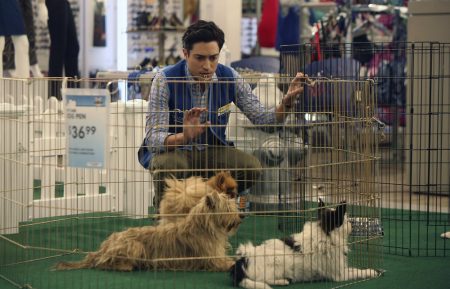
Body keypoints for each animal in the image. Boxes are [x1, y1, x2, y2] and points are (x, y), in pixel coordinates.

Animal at [55, 190, 243, 272]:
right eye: (228, 208)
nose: (242, 215)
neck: (204, 226)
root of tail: (102, 248)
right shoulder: (213, 259)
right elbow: (228, 263)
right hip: (135, 246)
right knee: (104, 263)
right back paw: (126, 266)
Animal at [230, 198, 378, 288]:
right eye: (345, 221)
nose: (352, 224)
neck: (325, 234)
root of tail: (242, 261)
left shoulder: (341, 268)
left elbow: (355, 268)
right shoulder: (340, 275)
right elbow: (357, 272)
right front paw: (371, 272)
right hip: (277, 261)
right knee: (263, 280)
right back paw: (282, 281)